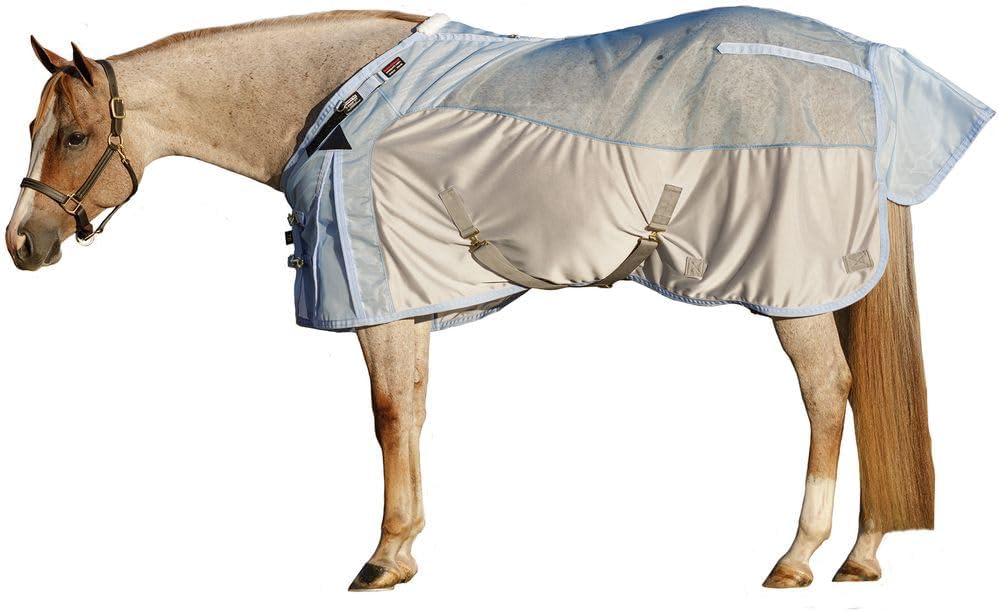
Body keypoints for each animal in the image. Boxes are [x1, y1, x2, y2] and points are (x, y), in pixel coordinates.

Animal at [5, 8, 992, 591]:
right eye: (33, 127)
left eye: (77, 135)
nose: (23, 243)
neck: (332, 105)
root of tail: (866, 65)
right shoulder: (407, 304)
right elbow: (413, 412)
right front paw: (406, 547)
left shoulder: (376, 297)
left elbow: (388, 417)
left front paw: (383, 558)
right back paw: (859, 554)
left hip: (791, 289)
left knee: (829, 397)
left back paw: (796, 558)